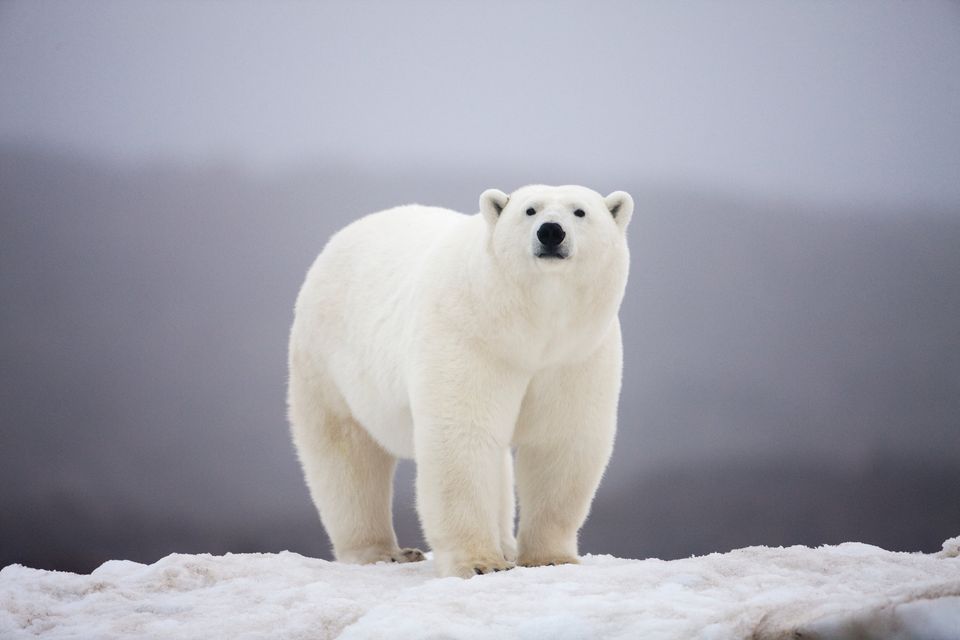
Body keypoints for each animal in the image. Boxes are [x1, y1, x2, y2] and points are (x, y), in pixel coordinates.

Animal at [288, 185, 632, 580]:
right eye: (529, 210)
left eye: (580, 212)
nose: (550, 232)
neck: (530, 328)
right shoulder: (469, 334)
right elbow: (464, 436)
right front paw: (480, 563)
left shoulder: (575, 354)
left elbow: (559, 440)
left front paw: (550, 557)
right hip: (327, 360)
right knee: (346, 453)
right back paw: (382, 552)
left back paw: (505, 544)